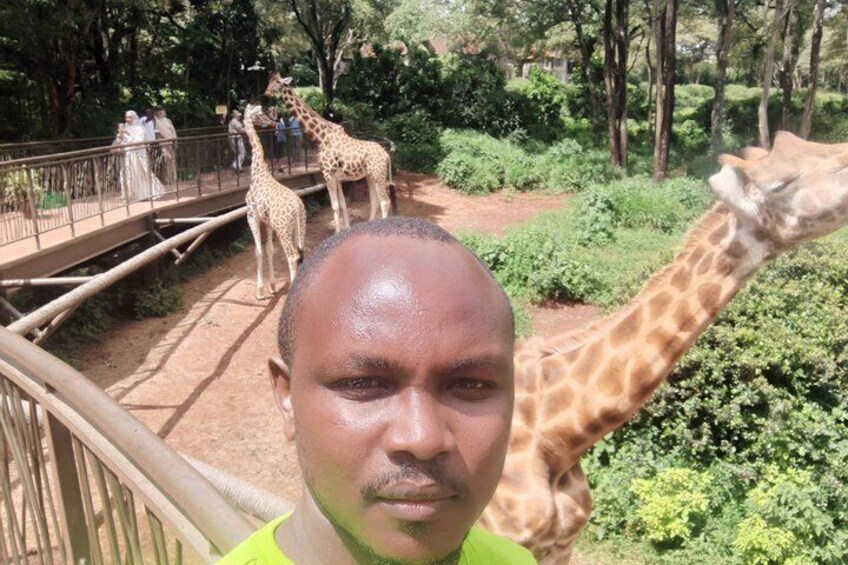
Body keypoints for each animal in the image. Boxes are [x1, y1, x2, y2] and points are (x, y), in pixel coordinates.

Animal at [243, 104, 307, 300]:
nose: (272, 122)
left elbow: (258, 251)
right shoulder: (268, 221)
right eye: (259, 113)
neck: (257, 171)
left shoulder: (252, 216)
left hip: (283, 228)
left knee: (292, 256)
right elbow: (270, 249)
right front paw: (271, 286)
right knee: (302, 253)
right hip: (300, 227)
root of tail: (297, 207)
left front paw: (260, 291)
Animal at [264, 73, 396, 233]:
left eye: (277, 82)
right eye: (269, 81)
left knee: (384, 201)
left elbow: (335, 206)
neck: (321, 137)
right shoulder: (337, 177)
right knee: (375, 200)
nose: (266, 93)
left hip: (379, 175)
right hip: (371, 176)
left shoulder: (327, 174)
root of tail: (386, 155)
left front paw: (337, 232)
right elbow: (343, 204)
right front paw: (347, 229)